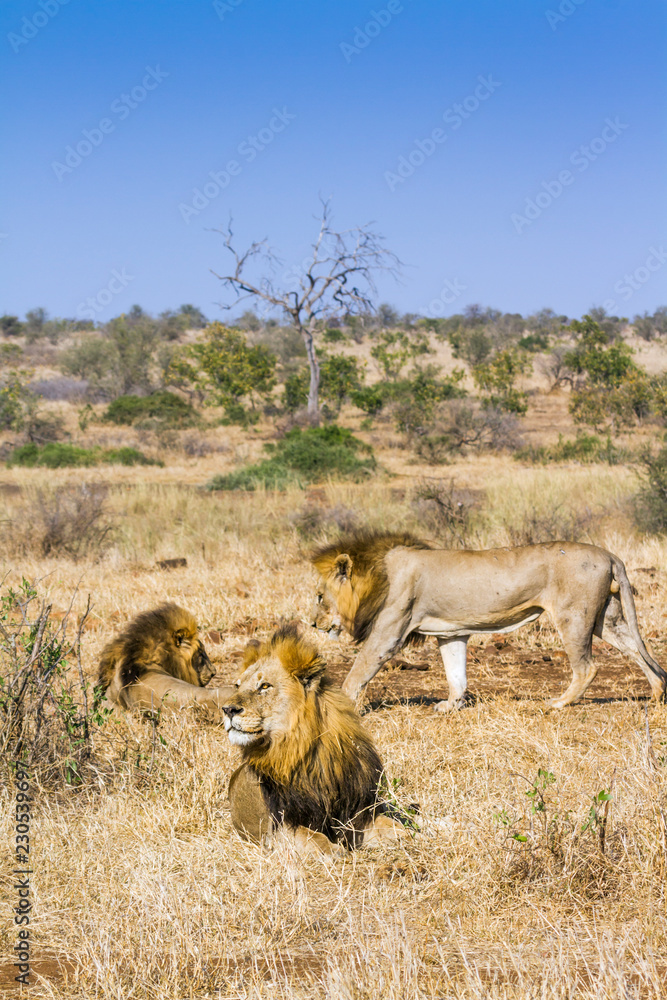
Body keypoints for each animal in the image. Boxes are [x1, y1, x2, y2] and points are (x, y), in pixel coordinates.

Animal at [222, 624, 411, 855]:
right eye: (237, 686)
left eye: (265, 686)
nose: (227, 709)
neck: (304, 748)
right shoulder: (280, 830)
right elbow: (313, 837)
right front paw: (334, 851)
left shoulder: (354, 814)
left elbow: (395, 828)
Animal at [311, 531, 667, 710]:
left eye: (318, 596)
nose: (313, 624)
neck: (376, 574)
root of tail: (610, 555)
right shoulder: (450, 633)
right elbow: (456, 674)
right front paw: (450, 706)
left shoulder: (389, 631)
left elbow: (359, 670)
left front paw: (342, 704)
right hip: (608, 619)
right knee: (639, 650)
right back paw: (656, 694)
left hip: (573, 616)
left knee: (588, 667)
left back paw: (559, 702)